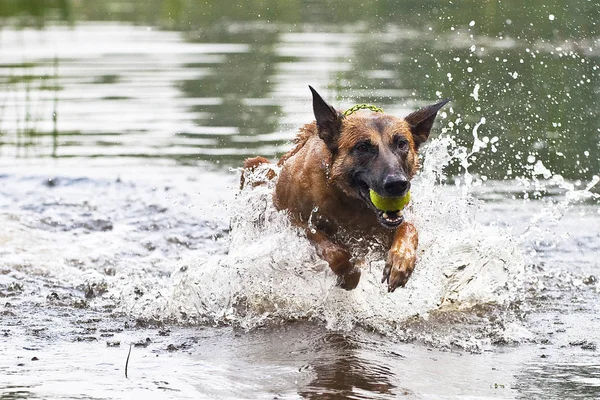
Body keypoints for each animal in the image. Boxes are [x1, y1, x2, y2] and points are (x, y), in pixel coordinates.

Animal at [241, 87, 448, 292]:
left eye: (402, 144)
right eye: (362, 147)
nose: (397, 184)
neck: (352, 203)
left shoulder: (386, 231)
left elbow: (409, 227)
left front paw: (401, 261)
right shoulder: (296, 220)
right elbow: (334, 251)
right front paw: (349, 276)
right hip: (255, 165)